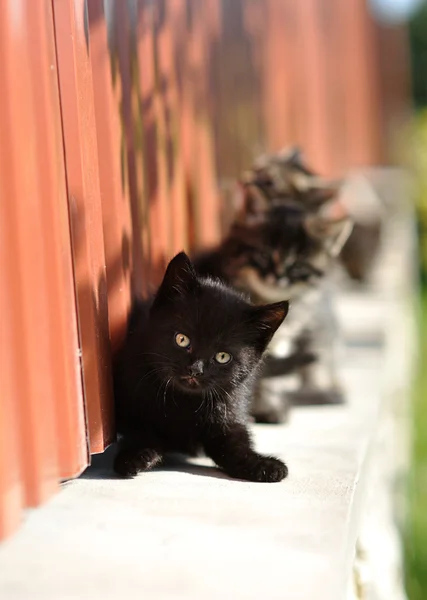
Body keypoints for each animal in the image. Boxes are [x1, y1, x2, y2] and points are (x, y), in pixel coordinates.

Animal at [112, 252, 290, 482]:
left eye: (222, 356)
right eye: (182, 339)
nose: (195, 370)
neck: (182, 401)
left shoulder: (229, 405)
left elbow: (235, 445)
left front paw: (262, 464)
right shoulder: (130, 397)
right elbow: (138, 429)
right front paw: (135, 456)